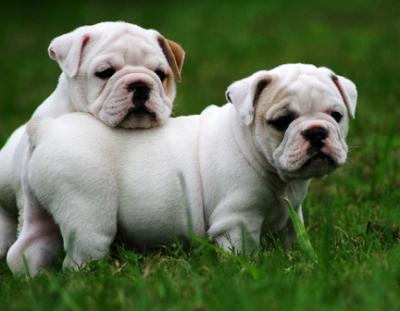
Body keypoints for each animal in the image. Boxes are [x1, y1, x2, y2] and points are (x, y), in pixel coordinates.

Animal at [7, 64, 356, 276]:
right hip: (88, 215)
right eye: (282, 122)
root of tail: (45, 129)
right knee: (81, 255)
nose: (316, 132)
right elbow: (242, 251)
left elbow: (293, 238)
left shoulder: (289, 215)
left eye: (336, 115)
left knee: (26, 249)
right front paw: (244, 271)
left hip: (38, 210)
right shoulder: (237, 219)